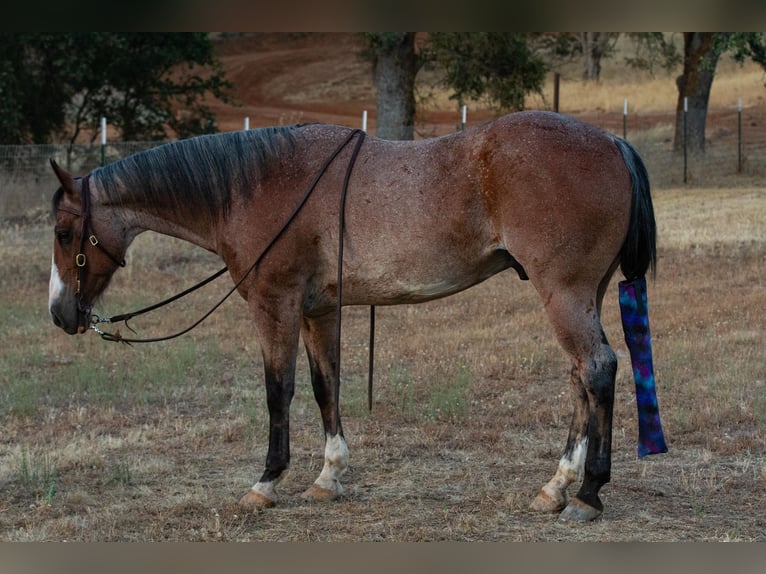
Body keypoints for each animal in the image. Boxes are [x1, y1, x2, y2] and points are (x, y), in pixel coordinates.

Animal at [48, 110, 658, 522]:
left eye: (63, 232)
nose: (59, 314)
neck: (252, 187)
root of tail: (610, 141)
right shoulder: (319, 309)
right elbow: (326, 387)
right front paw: (328, 476)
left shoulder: (275, 304)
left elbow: (278, 390)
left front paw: (266, 483)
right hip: (583, 296)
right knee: (581, 378)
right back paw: (556, 487)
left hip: (565, 295)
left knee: (597, 370)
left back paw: (587, 493)